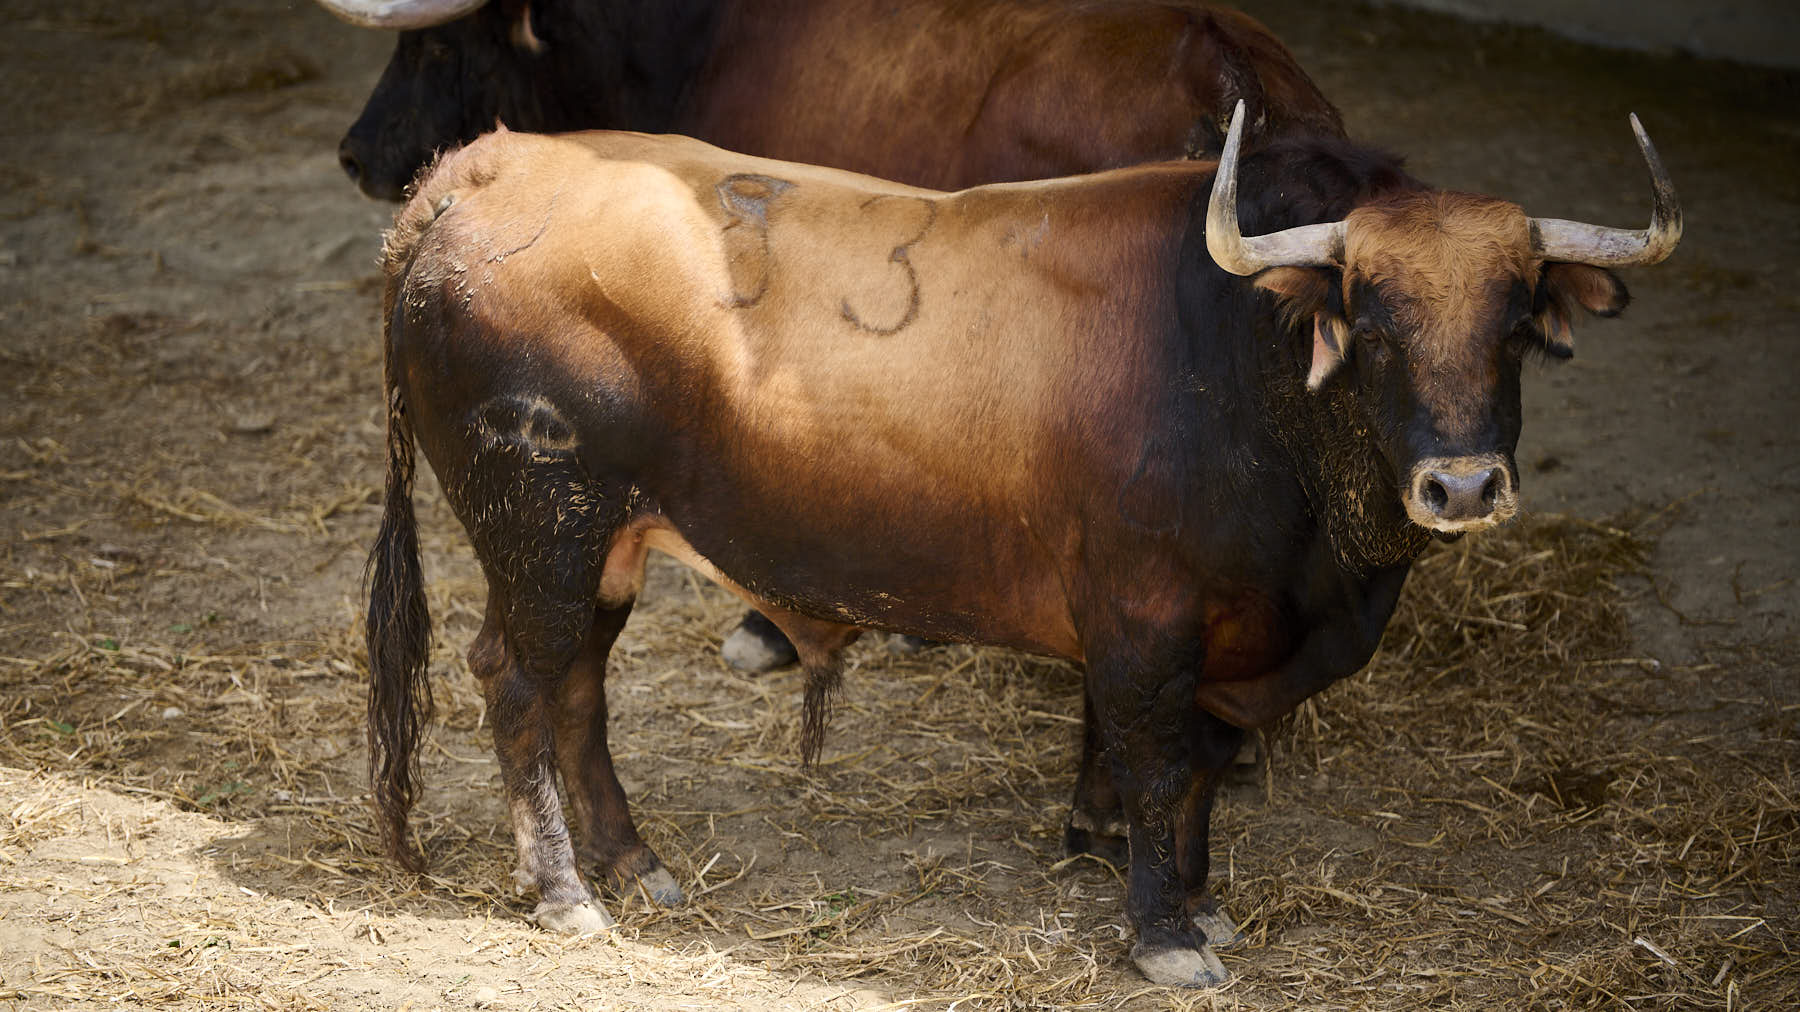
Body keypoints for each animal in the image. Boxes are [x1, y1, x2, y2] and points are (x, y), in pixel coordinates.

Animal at [365, 106, 1684, 979]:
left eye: (1515, 320)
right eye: (1374, 320)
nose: (1462, 483)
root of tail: (483, 164)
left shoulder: (1219, 645)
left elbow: (1200, 769)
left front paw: (1196, 901)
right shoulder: (1146, 621)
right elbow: (1154, 765)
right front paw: (1165, 934)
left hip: (605, 547)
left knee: (578, 687)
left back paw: (633, 863)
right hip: (542, 528)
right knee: (516, 680)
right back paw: (564, 893)